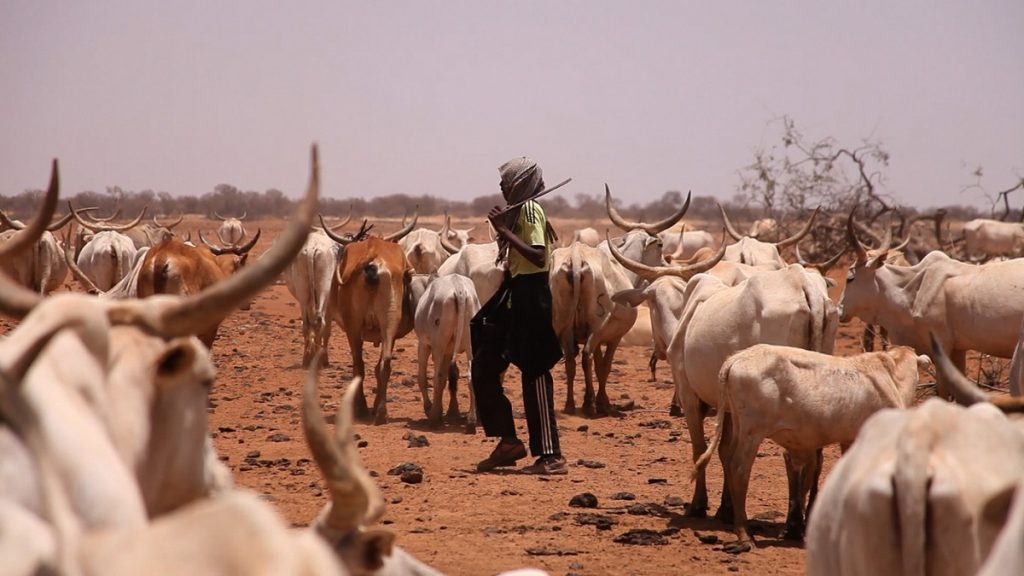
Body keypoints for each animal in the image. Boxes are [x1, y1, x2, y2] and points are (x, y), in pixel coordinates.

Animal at [696, 342, 929, 549]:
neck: (893, 379)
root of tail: (739, 357)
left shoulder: (848, 439)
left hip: (738, 426)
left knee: (728, 457)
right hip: (751, 433)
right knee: (739, 470)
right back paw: (745, 535)